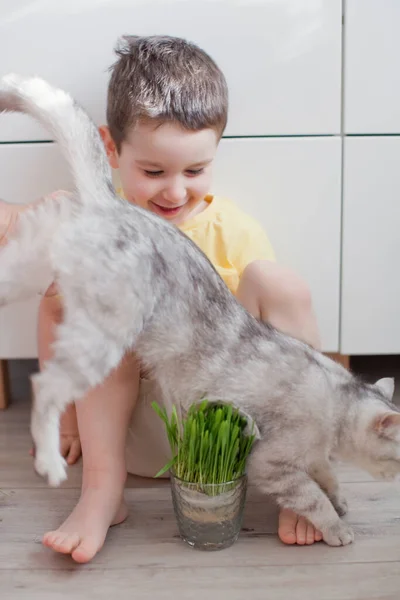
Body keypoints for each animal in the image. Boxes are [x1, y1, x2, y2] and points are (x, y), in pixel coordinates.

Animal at [0, 72, 400, 548]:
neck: (336, 398)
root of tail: (112, 203)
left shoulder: (311, 456)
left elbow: (326, 477)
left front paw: (339, 499)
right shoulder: (271, 460)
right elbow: (311, 496)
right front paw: (334, 528)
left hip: (36, 269)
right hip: (103, 333)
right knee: (45, 387)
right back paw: (55, 466)